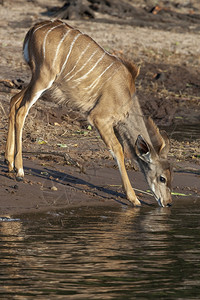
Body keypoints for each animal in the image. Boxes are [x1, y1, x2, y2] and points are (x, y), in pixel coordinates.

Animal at [5, 18, 173, 206]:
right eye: (162, 178)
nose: (168, 203)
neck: (126, 95)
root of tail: (34, 29)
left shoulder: (114, 124)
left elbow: (121, 148)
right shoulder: (99, 117)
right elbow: (118, 149)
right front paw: (133, 198)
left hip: (38, 80)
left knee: (14, 101)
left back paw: (9, 163)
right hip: (43, 77)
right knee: (21, 110)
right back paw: (20, 170)